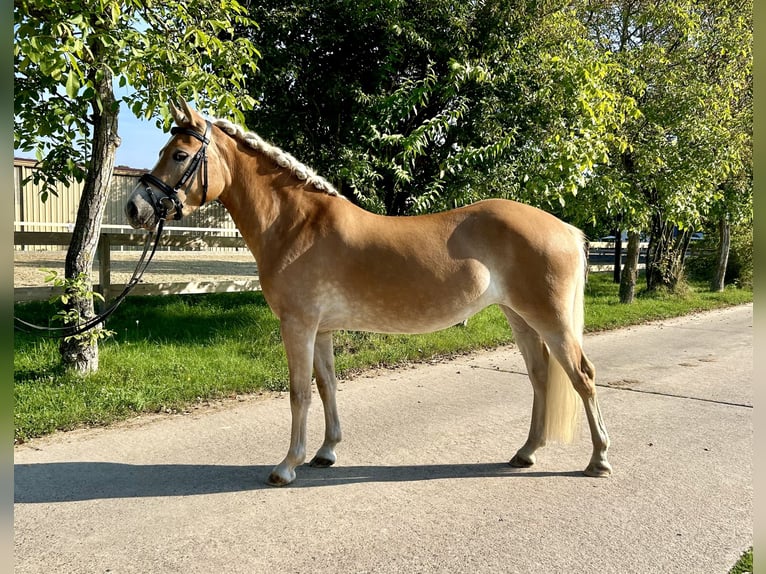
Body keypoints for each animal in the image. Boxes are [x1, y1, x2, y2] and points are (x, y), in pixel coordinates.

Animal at [126, 101, 612, 488]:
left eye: (180, 154)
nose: (136, 207)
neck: (296, 225)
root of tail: (566, 228)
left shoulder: (298, 325)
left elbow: (299, 393)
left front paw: (287, 466)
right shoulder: (320, 330)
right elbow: (327, 386)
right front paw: (326, 452)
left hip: (550, 319)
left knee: (582, 376)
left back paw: (599, 460)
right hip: (520, 317)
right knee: (540, 376)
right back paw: (526, 452)